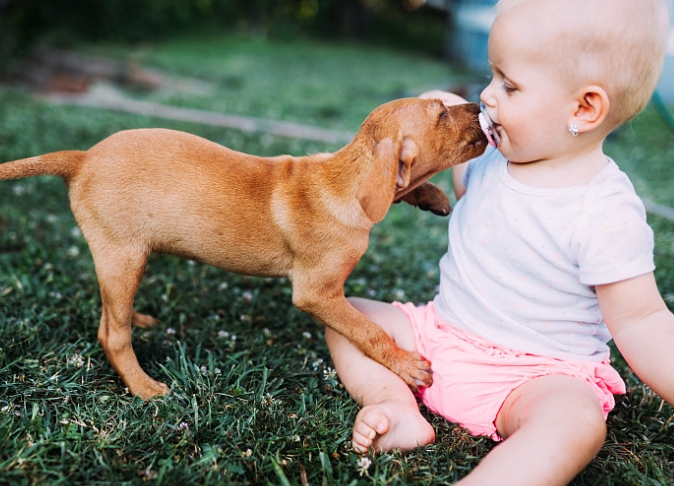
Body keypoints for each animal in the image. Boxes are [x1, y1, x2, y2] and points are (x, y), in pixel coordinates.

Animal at [0, 98, 484, 398]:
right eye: (441, 112)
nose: (480, 105)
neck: (341, 180)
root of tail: (82, 158)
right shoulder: (318, 293)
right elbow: (369, 331)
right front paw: (404, 364)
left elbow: (402, 188)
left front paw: (432, 195)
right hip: (123, 254)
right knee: (111, 334)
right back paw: (142, 386)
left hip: (123, 260)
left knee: (109, 310)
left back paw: (138, 318)